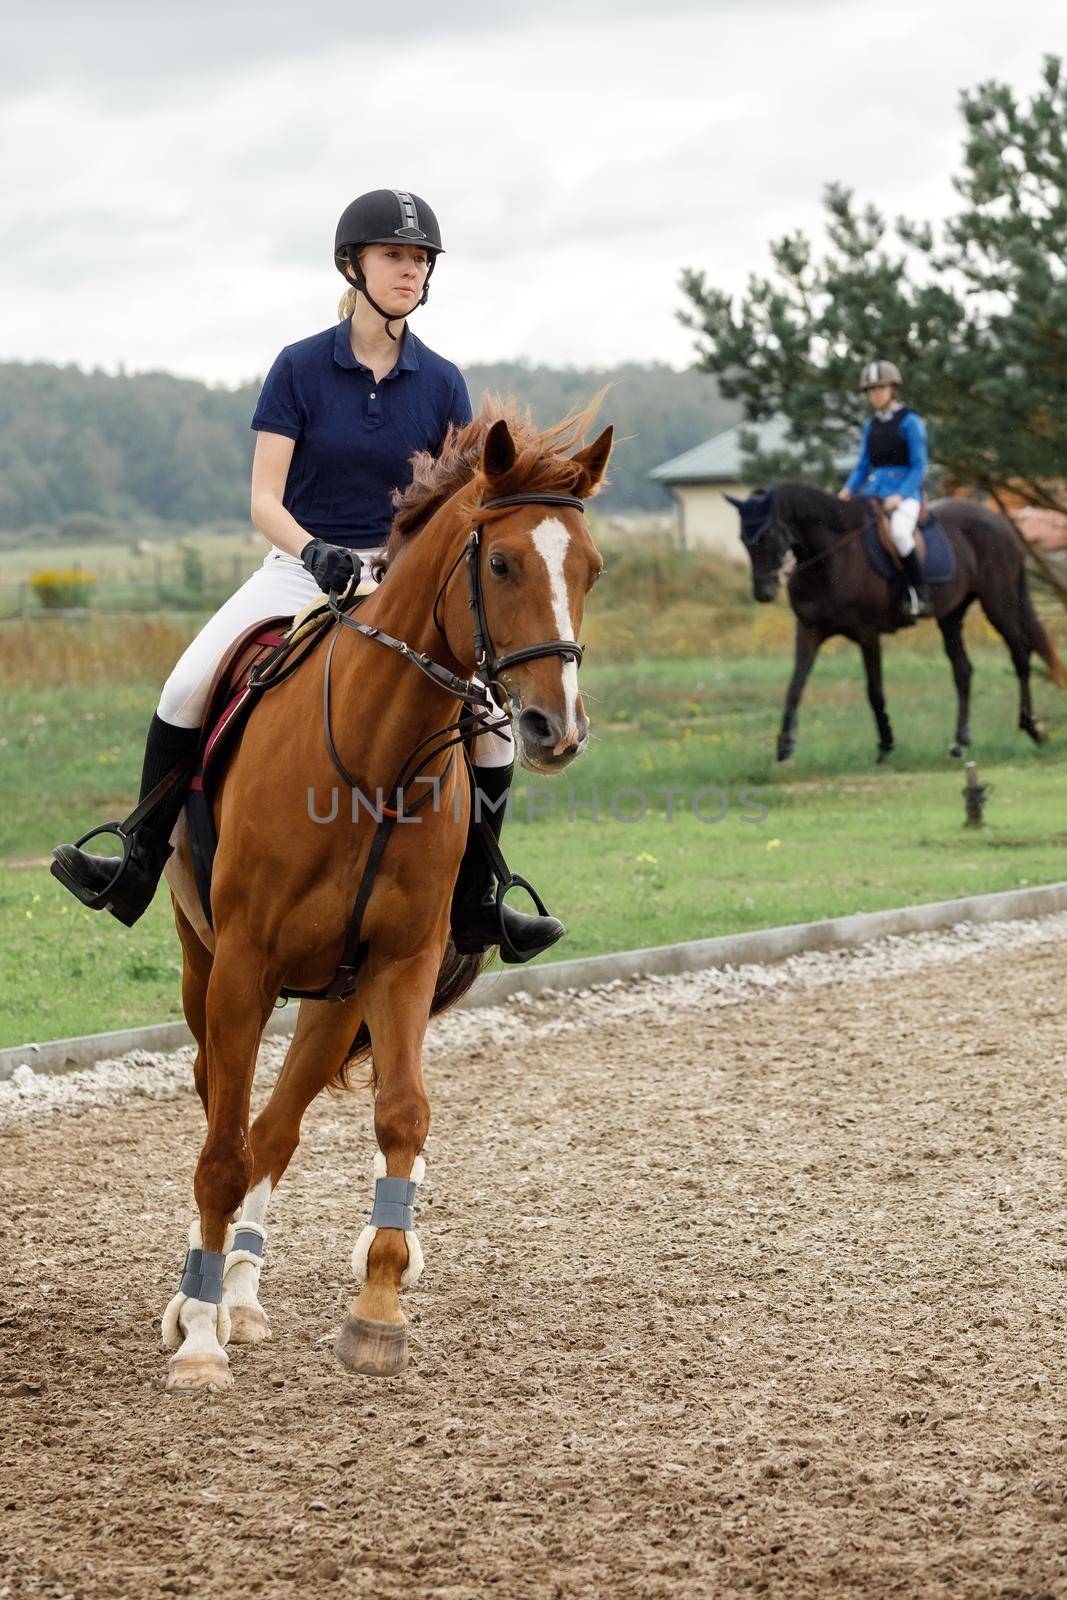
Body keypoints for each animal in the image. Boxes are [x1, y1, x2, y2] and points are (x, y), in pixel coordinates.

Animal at [156, 406, 607, 1395]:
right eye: (501, 563)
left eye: (590, 569)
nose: (555, 729)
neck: (376, 757)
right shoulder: (242, 967)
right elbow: (218, 1152)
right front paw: (199, 1340)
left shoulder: (399, 963)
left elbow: (398, 1115)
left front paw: (377, 1308)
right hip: (204, 965)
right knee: (224, 1113)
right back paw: (203, 1298)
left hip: (336, 996)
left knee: (274, 1128)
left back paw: (243, 1291)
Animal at [729, 480, 1062, 761]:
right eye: (743, 539)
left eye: (768, 536)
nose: (763, 592)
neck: (828, 560)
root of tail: (1001, 523)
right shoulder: (809, 631)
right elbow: (795, 687)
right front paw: (784, 747)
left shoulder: (867, 634)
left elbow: (874, 691)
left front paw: (886, 744)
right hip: (951, 616)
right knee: (963, 671)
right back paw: (959, 742)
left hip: (998, 604)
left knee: (1020, 654)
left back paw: (1033, 727)